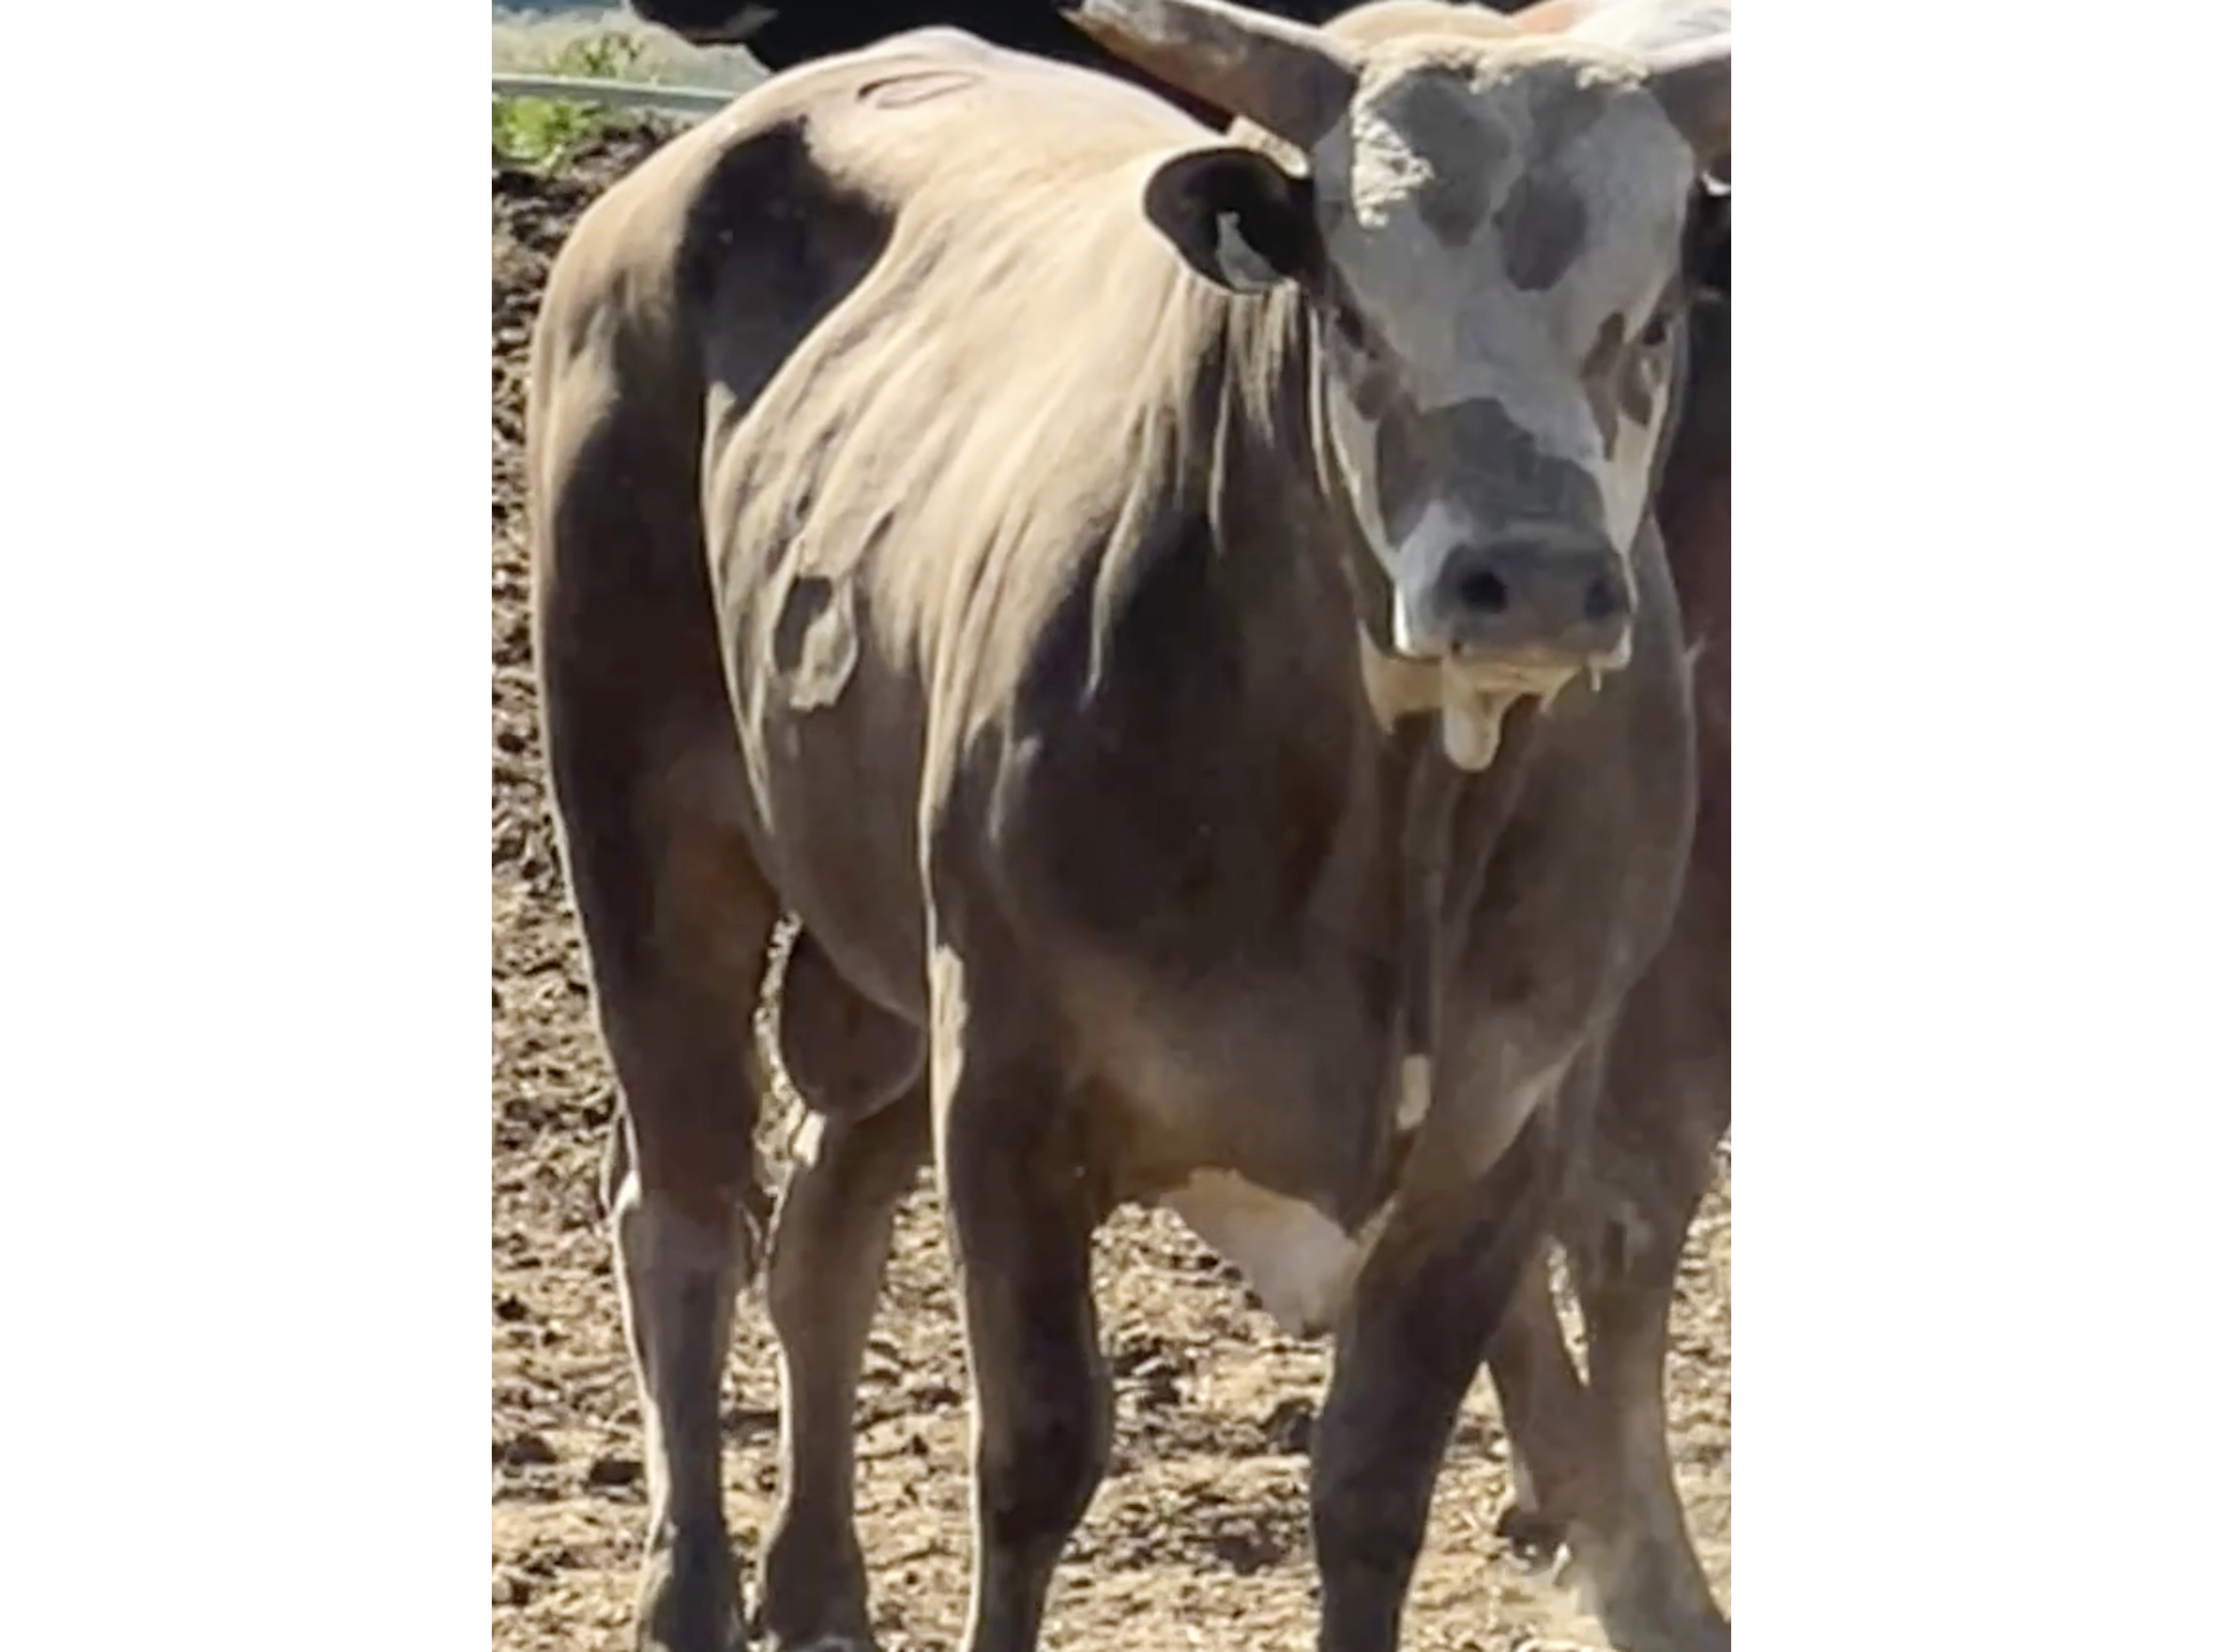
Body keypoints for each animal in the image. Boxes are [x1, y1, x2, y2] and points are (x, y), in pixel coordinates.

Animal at [526, 4, 1731, 1651]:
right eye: (1353, 311)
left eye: (1655, 313)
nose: (1532, 583)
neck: (1391, 831)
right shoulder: (1009, 1087)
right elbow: (1037, 1452)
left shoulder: (1501, 1139)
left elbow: (1374, 1486)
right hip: (647, 833)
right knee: (687, 1210)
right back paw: (691, 1587)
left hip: (875, 940)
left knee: (826, 1223)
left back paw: (819, 1582)